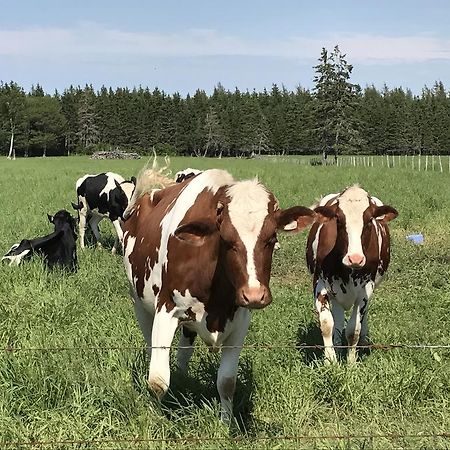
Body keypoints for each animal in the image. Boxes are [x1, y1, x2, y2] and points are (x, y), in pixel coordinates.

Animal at [121, 169, 314, 422]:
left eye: (272, 238)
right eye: (226, 239)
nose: (254, 295)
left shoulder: (240, 321)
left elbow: (227, 382)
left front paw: (225, 423)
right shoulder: (166, 310)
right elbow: (158, 380)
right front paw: (156, 419)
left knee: (184, 351)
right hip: (140, 304)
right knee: (151, 345)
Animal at [306, 185, 398, 364]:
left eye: (369, 220)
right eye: (338, 219)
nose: (355, 258)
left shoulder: (366, 288)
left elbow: (354, 329)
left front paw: (351, 362)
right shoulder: (320, 283)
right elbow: (327, 324)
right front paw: (330, 361)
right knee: (337, 318)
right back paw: (336, 344)